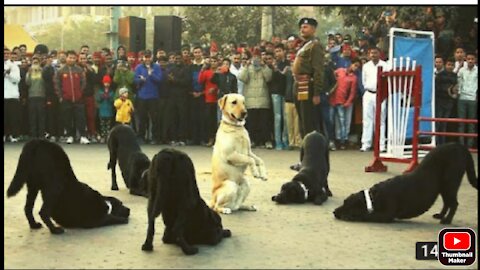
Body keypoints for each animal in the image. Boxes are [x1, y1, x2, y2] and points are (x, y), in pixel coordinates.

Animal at [334, 143, 476, 224]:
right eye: (344, 201)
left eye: (347, 204)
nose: (334, 212)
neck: (373, 198)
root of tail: (460, 146)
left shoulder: (386, 214)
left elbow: (367, 215)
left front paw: (352, 215)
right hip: (443, 186)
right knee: (447, 202)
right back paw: (440, 216)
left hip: (450, 182)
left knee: (454, 203)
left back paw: (446, 220)